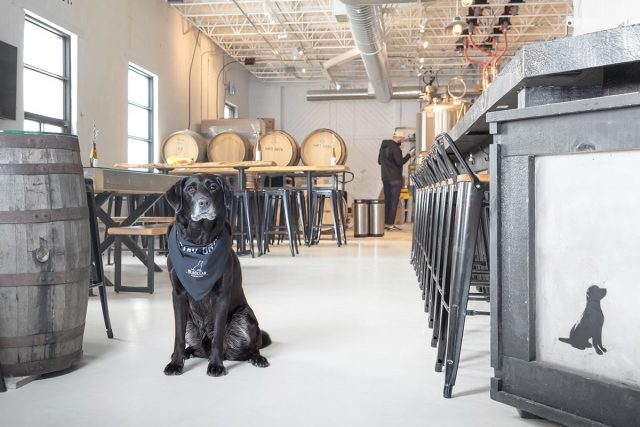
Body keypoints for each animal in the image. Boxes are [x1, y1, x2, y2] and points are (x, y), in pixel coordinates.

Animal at [162, 174, 270, 378]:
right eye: (190, 190)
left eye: (213, 187)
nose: (204, 202)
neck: (199, 244)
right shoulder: (178, 295)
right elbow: (178, 336)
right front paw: (175, 363)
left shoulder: (222, 296)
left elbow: (218, 336)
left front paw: (216, 365)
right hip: (190, 323)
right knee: (194, 347)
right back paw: (187, 353)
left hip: (245, 316)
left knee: (250, 348)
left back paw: (257, 358)